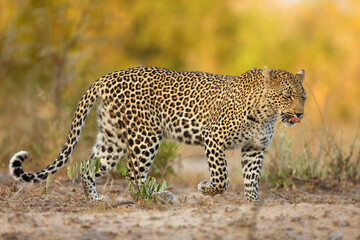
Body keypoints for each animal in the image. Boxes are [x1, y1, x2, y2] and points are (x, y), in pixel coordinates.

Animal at [8, 66, 306, 202]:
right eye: (286, 95)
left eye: (302, 96)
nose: (300, 114)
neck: (266, 112)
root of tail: (107, 76)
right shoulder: (213, 138)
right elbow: (222, 177)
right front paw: (206, 188)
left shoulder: (254, 149)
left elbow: (252, 178)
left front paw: (252, 201)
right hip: (146, 136)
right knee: (133, 173)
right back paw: (154, 198)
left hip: (113, 139)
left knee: (87, 167)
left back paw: (95, 200)